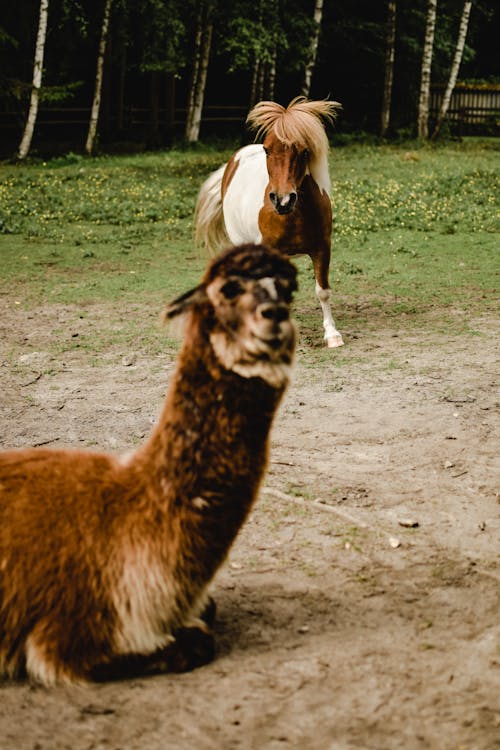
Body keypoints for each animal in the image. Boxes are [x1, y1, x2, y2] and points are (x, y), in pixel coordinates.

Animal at [194, 96, 344, 350]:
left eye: (304, 151)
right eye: (267, 149)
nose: (282, 200)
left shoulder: (322, 248)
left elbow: (323, 291)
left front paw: (332, 334)